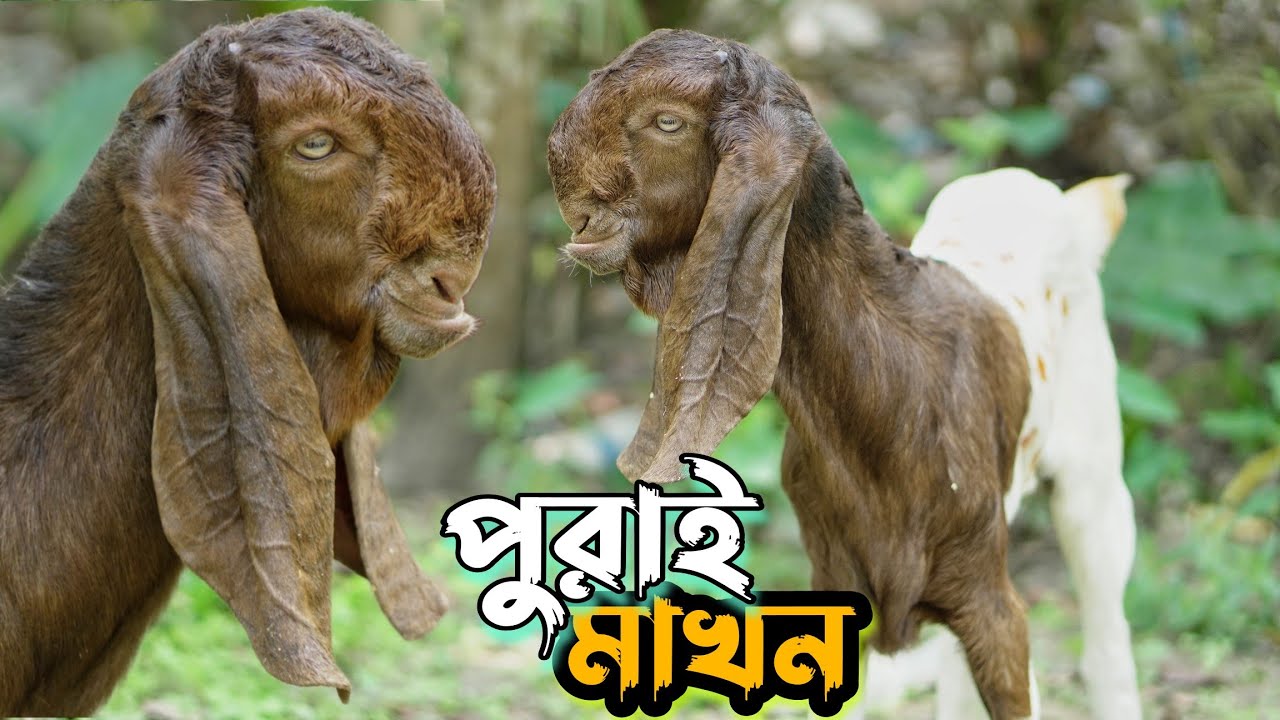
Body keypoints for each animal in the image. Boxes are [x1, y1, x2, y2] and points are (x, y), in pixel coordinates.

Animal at [547, 29, 1140, 719]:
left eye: (668, 122)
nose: (573, 202)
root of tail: (1053, 197)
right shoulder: (836, 583)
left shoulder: (991, 603)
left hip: (1093, 470)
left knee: (1103, 615)